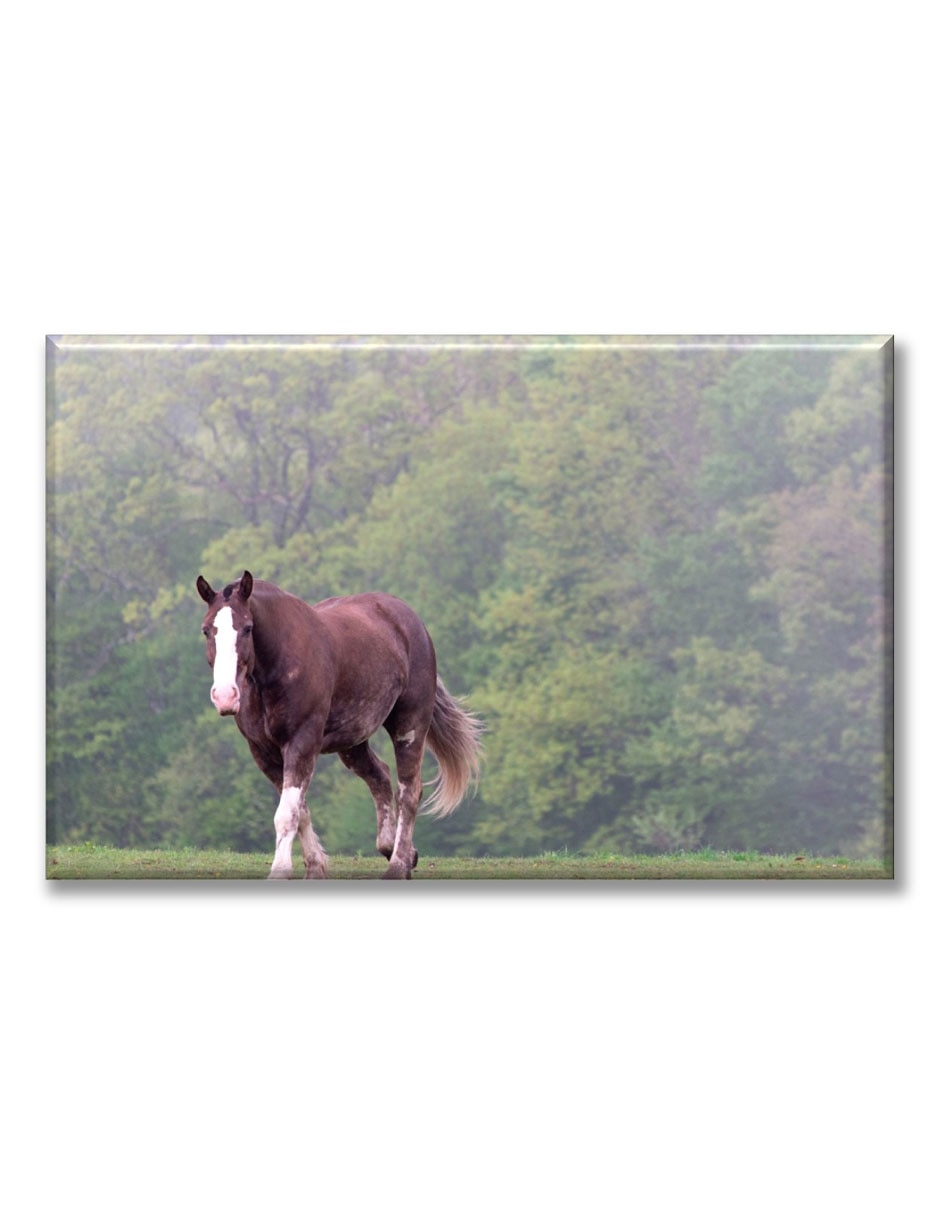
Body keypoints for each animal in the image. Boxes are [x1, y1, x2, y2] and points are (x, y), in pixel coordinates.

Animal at [196, 571, 483, 879]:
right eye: (206, 630)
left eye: (248, 628)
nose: (225, 695)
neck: (275, 670)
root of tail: (411, 620)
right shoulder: (263, 752)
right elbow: (300, 810)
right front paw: (315, 867)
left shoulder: (302, 742)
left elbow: (287, 814)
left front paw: (281, 870)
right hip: (353, 740)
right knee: (379, 776)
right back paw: (396, 850)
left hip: (410, 724)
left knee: (409, 791)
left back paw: (397, 864)